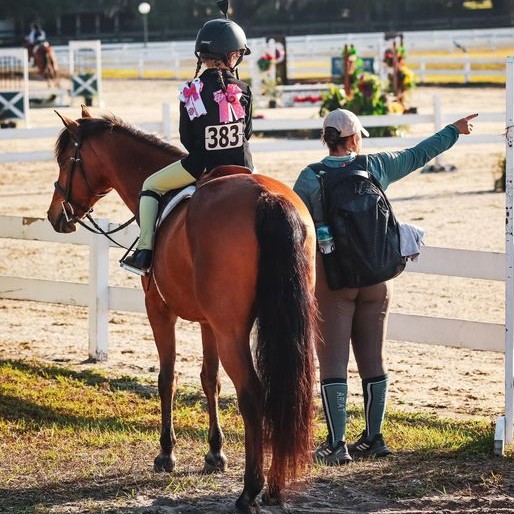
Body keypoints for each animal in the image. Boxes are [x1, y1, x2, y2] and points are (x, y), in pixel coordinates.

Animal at [46, 106, 316, 510]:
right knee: (289, 391)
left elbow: (167, 378)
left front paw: (166, 454)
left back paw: (249, 491)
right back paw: (274, 485)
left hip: (232, 332)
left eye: (66, 160)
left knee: (252, 395)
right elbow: (209, 379)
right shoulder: (208, 323)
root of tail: (268, 199)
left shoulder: (159, 310)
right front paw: (215, 453)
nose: (55, 216)